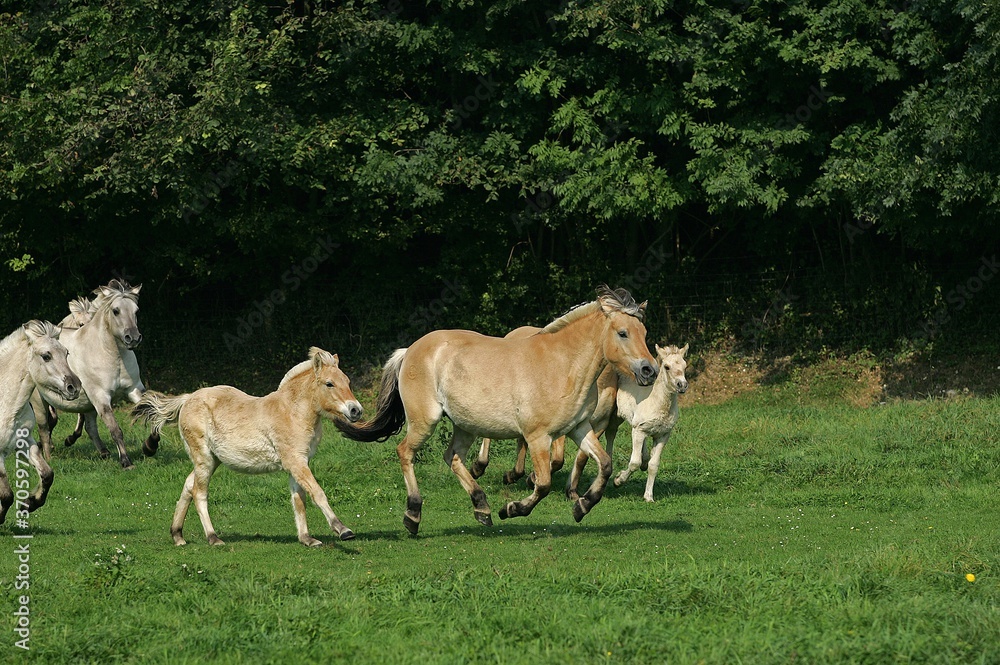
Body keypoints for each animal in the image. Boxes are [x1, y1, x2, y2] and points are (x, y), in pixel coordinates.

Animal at [0, 321, 81, 523]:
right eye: (46, 356)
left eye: (66, 353)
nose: (74, 387)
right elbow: (6, 494)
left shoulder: (24, 441)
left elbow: (47, 474)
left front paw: (29, 504)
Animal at [31, 279, 159, 468]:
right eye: (116, 311)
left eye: (136, 311)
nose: (133, 338)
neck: (111, 355)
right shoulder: (101, 397)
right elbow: (115, 429)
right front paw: (126, 461)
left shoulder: (134, 389)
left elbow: (152, 412)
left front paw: (150, 447)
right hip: (40, 401)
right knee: (45, 427)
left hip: (87, 404)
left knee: (89, 428)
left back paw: (103, 452)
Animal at [132, 347, 364, 547]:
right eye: (329, 384)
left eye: (348, 382)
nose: (356, 410)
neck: (292, 412)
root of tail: (189, 398)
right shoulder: (296, 462)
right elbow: (317, 493)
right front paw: (343, 530)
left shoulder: (297, 463)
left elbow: (299, 500)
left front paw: (307, 538)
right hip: (203, 459)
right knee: (199, 492)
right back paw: (213, 537)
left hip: (211, 461)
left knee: (189, 486)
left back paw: (178, 535)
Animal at [336, 285, 658, 536]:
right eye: (622, 333)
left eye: (643, 332)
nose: (650, 370)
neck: (562, 365)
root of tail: (410, 350)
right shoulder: (538, 437)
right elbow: (542, 483)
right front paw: (512, 508)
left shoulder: (579, 429)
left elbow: (605, 464)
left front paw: (581, 506)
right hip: (425, 421)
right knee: (405, 452)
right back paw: (413, 516)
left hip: (464, 425)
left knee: (452, 457)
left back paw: (482, 508)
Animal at [567, 343, 689, 502]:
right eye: (667, 367)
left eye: (685, 366)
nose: (682, 385)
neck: (657, 403)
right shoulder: (638, 431)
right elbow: (635, 462)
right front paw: (618, 480)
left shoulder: (663, 435)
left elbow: (653, 465)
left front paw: (648, 496)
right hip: (614, 418)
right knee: (611, 435)